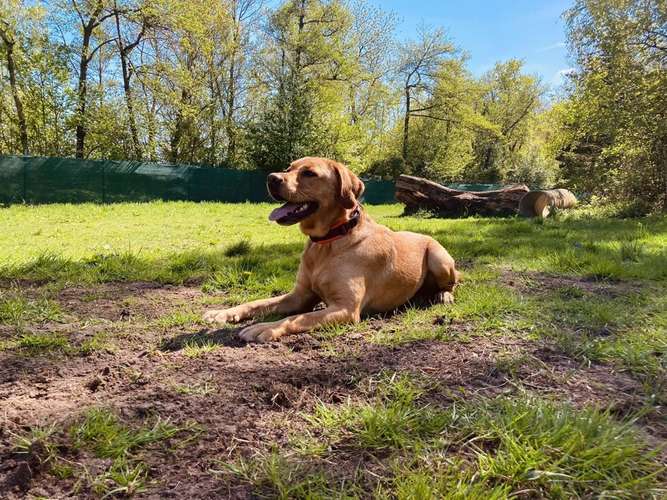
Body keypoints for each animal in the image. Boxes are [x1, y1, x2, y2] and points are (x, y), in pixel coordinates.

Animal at [205, 158, 460, 342]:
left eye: (309, 173)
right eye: (288, 168)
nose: (271, 178)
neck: (328, 242)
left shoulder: (345, 309)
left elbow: (295, 318)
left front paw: (264, 327)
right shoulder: (299, 296)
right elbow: (258, 302)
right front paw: (223, 313)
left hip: (439, 259)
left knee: (452, 283)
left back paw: (443, 295)